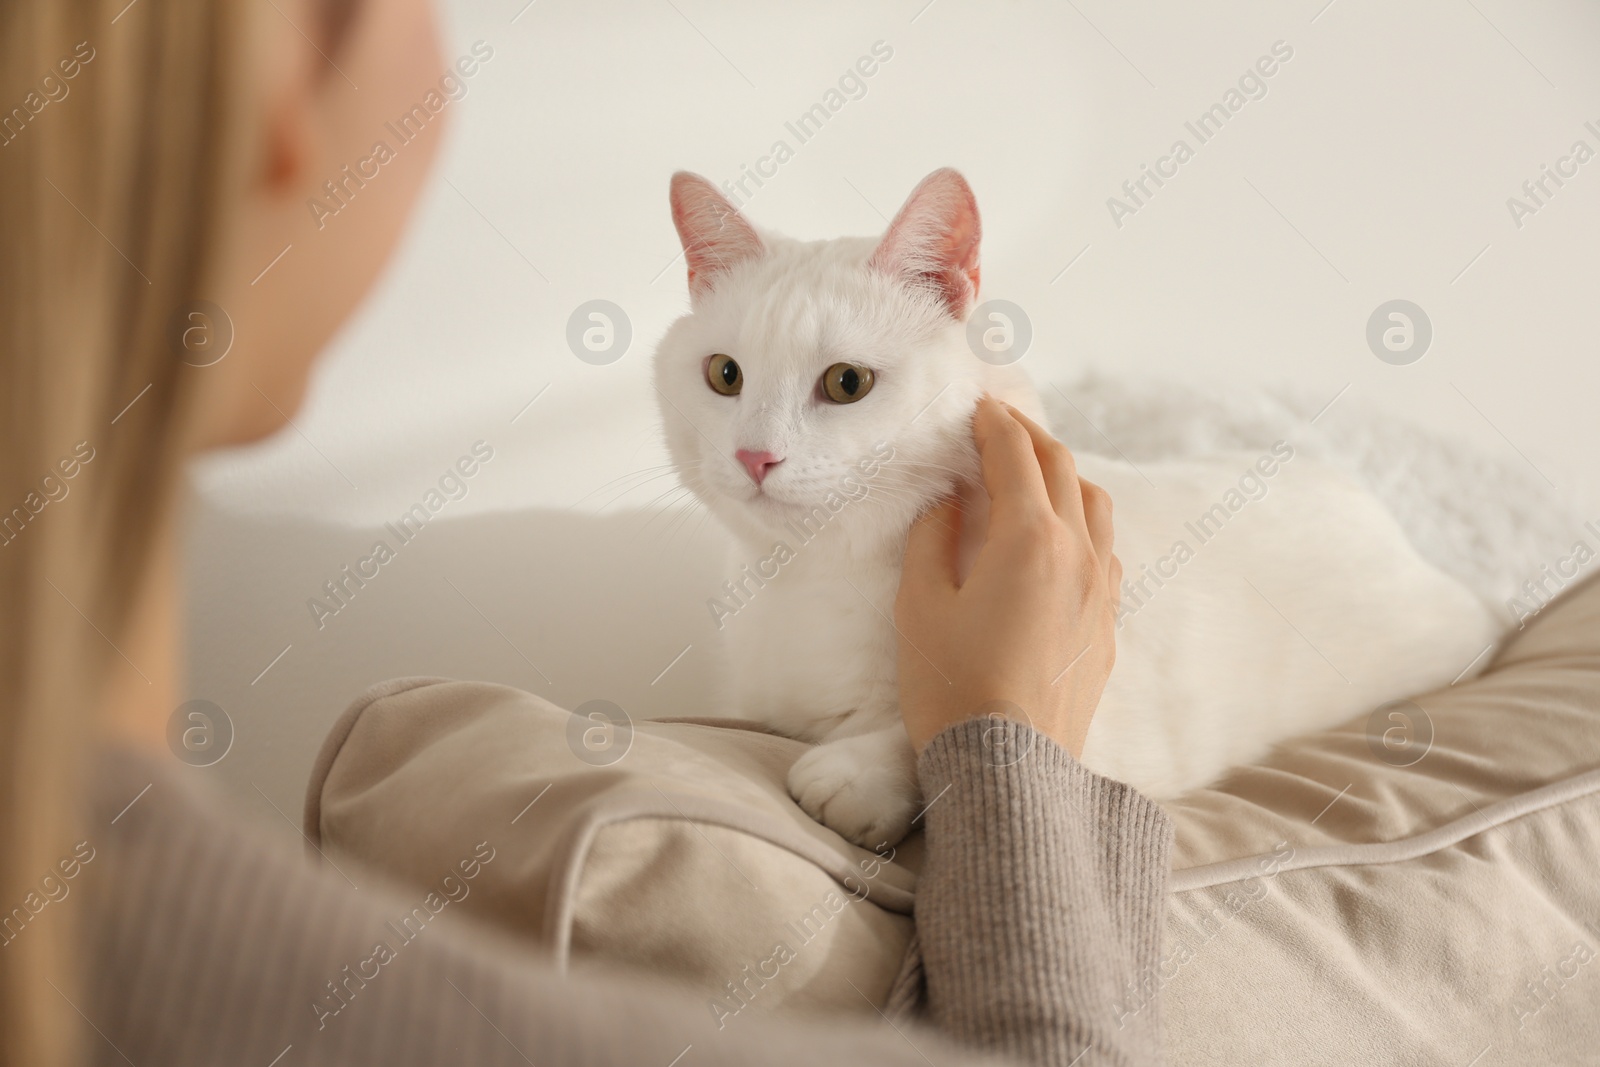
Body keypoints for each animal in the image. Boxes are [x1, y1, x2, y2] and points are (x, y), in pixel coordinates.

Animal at [649, 168, 1497, 851]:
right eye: (724, 375)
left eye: (847, 383)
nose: (754, 456)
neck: (813, 582)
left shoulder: (1111, 744)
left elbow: (957, 722)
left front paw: (856, 774)